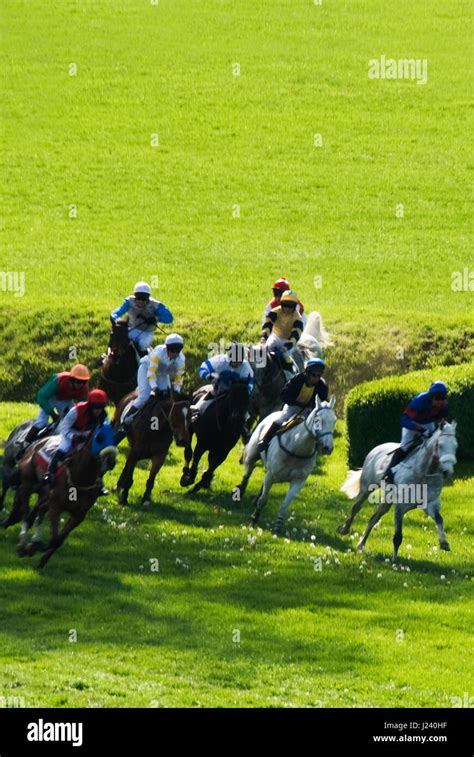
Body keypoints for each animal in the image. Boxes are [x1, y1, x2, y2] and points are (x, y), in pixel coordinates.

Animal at [13, 422, 117, 564]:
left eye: (118, 436)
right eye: (100, 437)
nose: (111, 461)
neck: (80, 478)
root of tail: (37, 442)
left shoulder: (79, 515)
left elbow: (58, 540)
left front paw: (40, 555)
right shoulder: (56, 506)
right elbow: (54, 539)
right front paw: (34, 547)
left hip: (45, 493)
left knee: (40, 509)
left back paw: (34, 542)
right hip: (28, 483)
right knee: (26, 511)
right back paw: (22, 544)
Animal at [237, 396, 336, 532]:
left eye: (334, 421)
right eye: (317, 420)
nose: (328, 448)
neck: (296, 447)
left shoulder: (298, 482)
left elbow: (284, 506)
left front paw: (277, 527)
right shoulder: (271, 476)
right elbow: (263, 500)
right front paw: (254, 520)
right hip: (253, 454)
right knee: (248, 471)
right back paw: (240, 490)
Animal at [338, 420, 458, 560]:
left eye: (455, 446)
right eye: (441, 445)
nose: (448, 472)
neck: (424, 473)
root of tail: (376, 448)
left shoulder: (430, 504)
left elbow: (439, 519)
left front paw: (444, 543)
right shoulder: (400, 507)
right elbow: (398, 536)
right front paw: (394, 559)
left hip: (387, 500)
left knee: (374, 518)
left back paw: (361, 544)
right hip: (366, 487)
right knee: (356, 507)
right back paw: (344, 529)